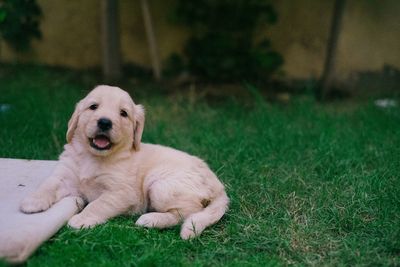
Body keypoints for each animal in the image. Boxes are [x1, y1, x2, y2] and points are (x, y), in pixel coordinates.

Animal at [20, 86, 230, 241]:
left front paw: (80, 220)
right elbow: (48, 184)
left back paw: (151, 219)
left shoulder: (121, 192)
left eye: (123, 113)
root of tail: (218, 185)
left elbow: (98, 204)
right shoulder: (66, 176)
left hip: (160, 184)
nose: (105, 122)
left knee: (187, 212)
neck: (93, 157)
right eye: (93, 107)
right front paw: (32, 201)